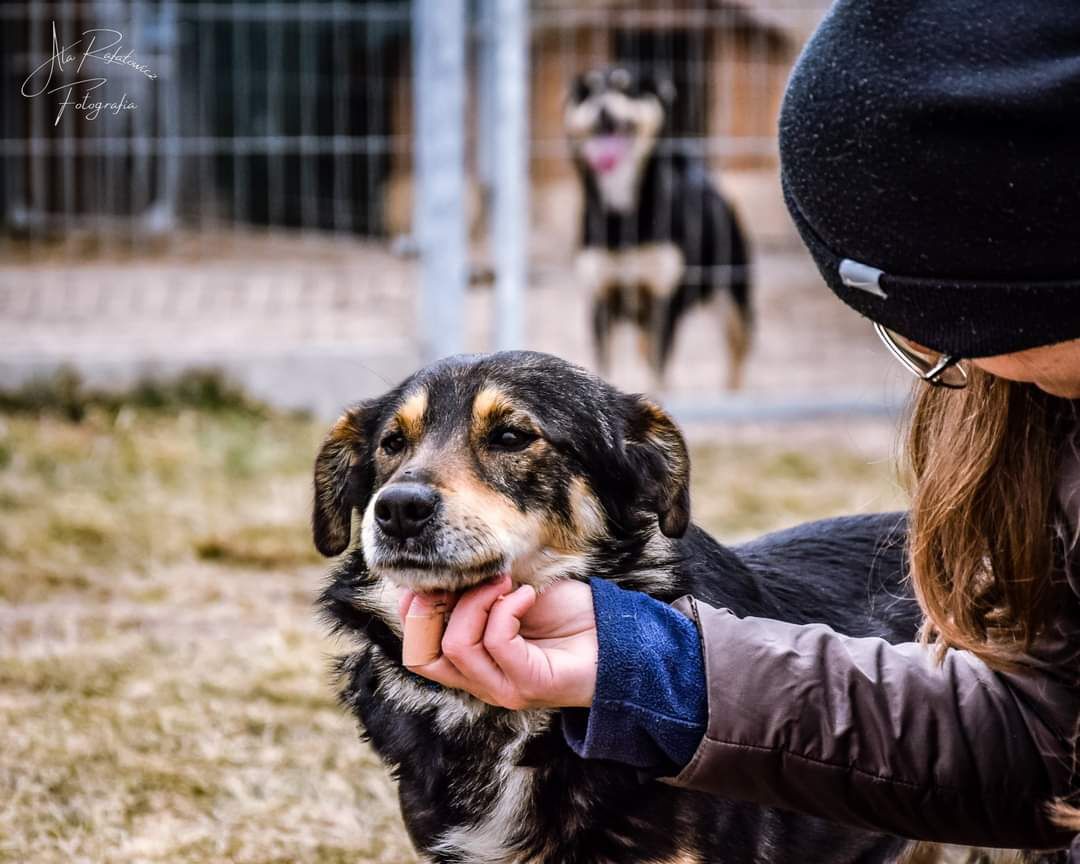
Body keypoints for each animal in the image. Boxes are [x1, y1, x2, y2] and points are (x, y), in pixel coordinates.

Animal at [565, 69, 751, 388]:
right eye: (589, 92)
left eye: (626, 88)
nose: (602, 109)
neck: (623, 216)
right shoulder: (601, 301)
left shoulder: (664, 301)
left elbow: (658, 372)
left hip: (732, 295)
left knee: (738, 350)